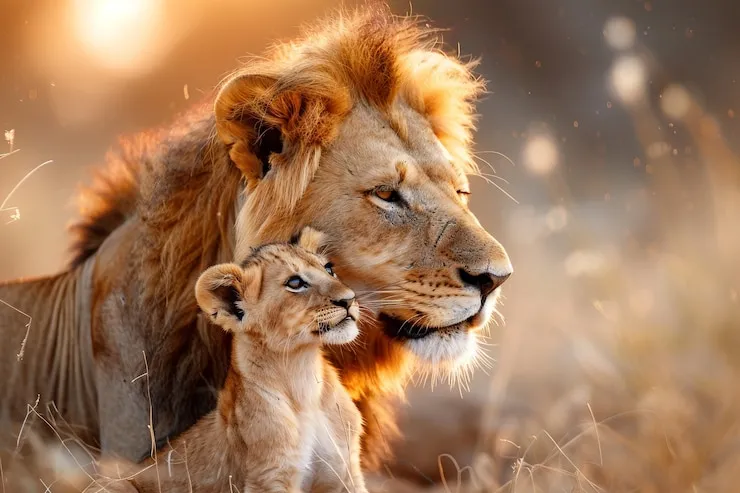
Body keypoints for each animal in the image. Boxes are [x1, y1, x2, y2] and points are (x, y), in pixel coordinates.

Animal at [87, 227, 367, 493]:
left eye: (329, 268)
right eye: (295, 282)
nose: (349, 299)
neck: (303, 375)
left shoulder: (346, 471)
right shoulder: (269, 476)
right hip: (116, 484)